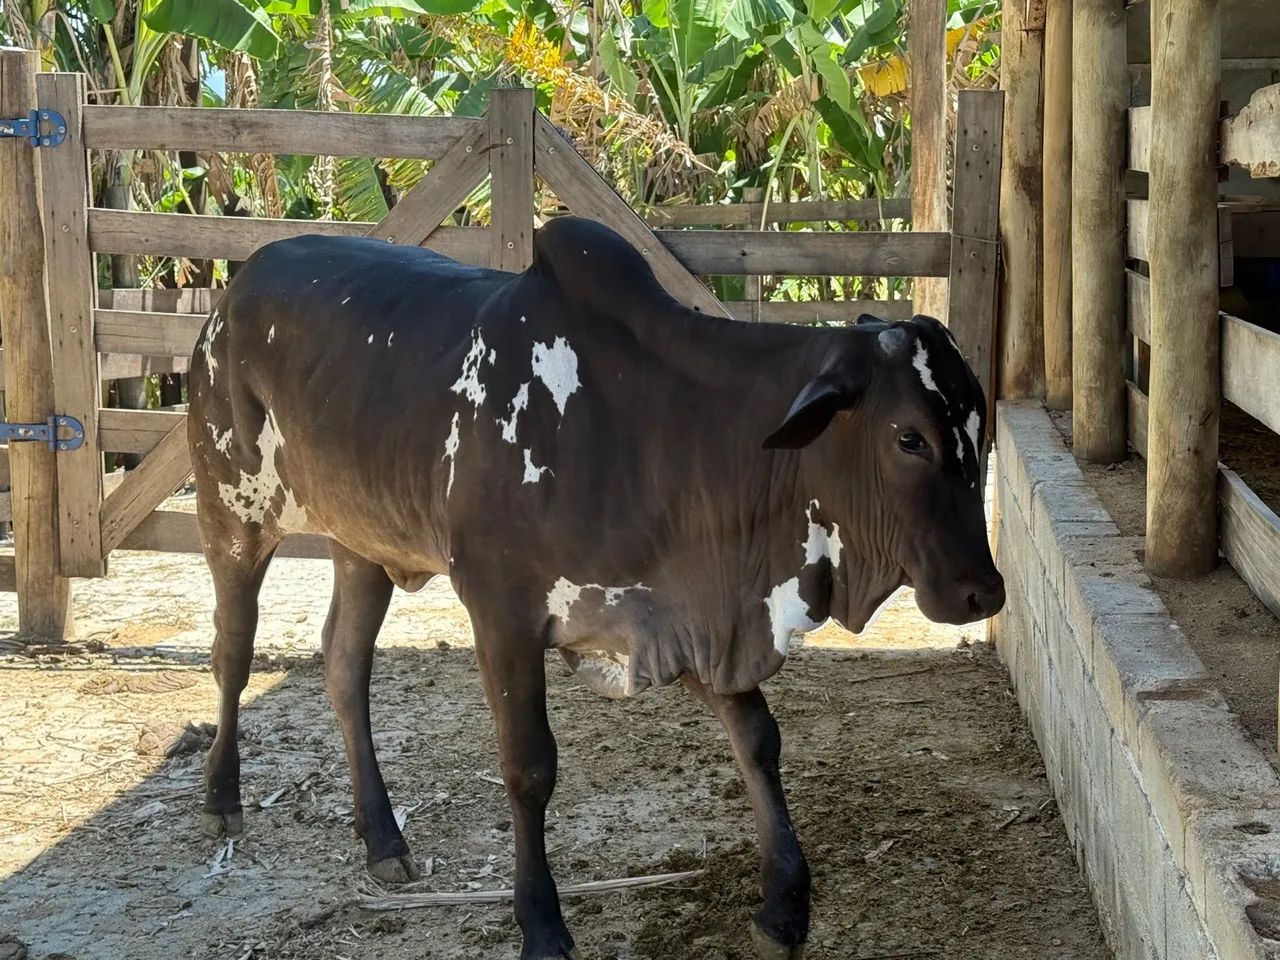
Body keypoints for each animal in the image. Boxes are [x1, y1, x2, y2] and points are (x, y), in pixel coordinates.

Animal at [188, 215, 1004, 960]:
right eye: (908, 438)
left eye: (980, 431)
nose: (984, 593)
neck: (658, 431)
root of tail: (237, 286)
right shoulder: (503, 614)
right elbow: (528, 767)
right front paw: (542, 926)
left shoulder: (678, 615)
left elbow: (757, 738)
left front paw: (784, 906)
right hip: (232, 515)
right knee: (233, 650)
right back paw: (222, 798)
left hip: (361, 545)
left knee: (344, 666)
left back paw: (383, 839)